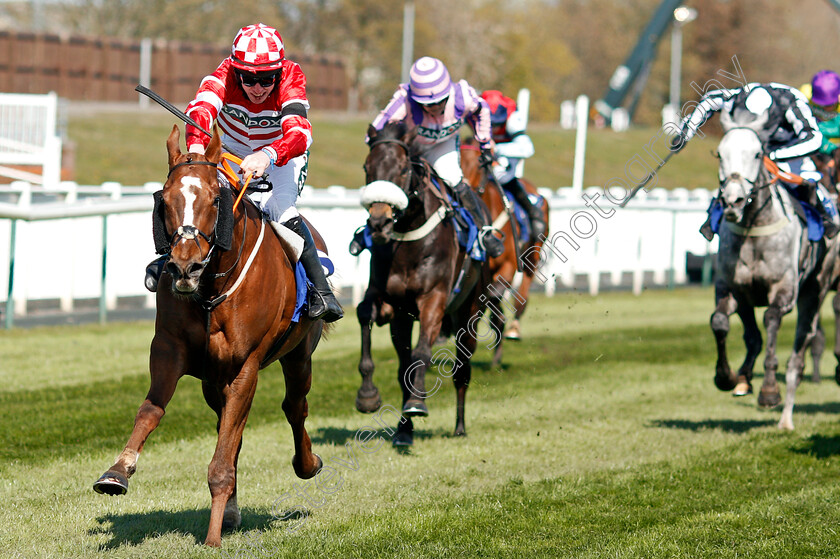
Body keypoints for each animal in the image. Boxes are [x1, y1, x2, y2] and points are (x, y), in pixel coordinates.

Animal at [94, 126, 324, 548]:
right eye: (165, 198)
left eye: (215, 198)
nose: (185, 267)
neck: (212, 286)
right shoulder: (169, 349)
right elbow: (151, 410)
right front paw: (117, 471)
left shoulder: (245, 367)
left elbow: (222, 458)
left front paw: (213, 537)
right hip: (212, 381)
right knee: (231, 431)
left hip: (299, 353)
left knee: (294, 406)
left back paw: (307, 463)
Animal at [354, 121, 492, 446]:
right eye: (367, 167)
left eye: (403, 168)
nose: (378, 223)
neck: (408, 241)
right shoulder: (390, 303)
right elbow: (364, 314)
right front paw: (368, 395)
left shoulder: (434, 300)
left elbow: (421, 355)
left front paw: (418, 402)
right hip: (404, 321)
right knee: (404, 367)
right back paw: (404, 431)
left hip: (469, 311)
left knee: (461, 369)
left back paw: (459, 426)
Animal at [456, 137, 548, 368]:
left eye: (480, 163)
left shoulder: (508, 265)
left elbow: (495, 295)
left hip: (533, 256)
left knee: (521, 294)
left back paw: (513, 329)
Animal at [708, 114, 840, 430]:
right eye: (720, 153)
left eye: (757, 154)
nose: (733, 202)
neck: (753, 228)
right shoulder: (734, 290)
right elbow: (724, 324)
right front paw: (728, 377)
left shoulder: (784, 291)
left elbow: (769, 322)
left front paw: (768, 390)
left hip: (815, 290)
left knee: (799, 353)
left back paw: (786, 419)